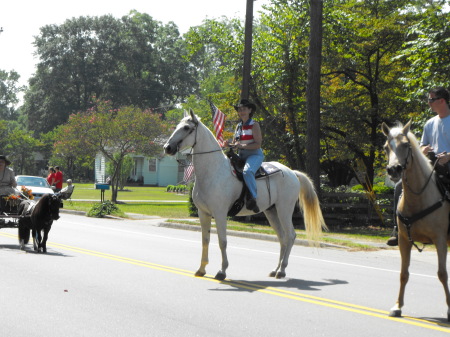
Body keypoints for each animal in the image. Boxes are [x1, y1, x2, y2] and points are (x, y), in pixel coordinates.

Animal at [163, 109, 326, 278]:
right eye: (178, 126)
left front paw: (222, 271)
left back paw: (282, 270)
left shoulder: (220, 213)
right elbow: (205, 240)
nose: (167, 147)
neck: (213, 171)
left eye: (187, 128)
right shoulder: (203, 213)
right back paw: (275, 269)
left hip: (284, 210)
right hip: (271, 211)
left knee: (291, 235)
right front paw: (201, 269)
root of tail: (292, 172)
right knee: (282, 237)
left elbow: (222, 241)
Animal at [382, 119, 450, 318]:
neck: (419, 198)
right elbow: (403, 274)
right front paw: (397, 306)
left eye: (406, 144)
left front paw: (449, 309)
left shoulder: (440, 240)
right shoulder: (404, 240)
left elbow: (442, 273)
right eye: (386, 147)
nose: (394, 169)